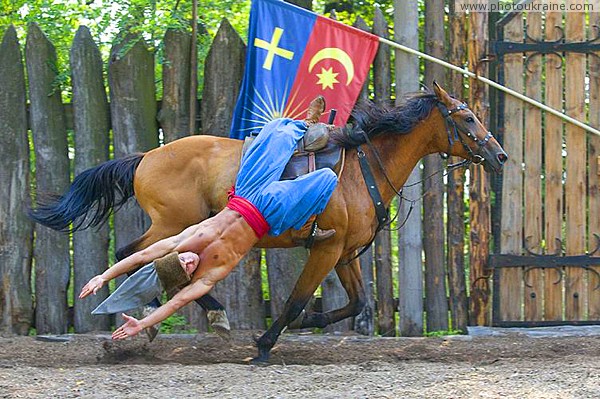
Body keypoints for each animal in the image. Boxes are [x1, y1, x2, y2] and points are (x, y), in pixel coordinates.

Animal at [28, 82, 506, 362]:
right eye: (467, 117)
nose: (499, 155)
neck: (363, 167)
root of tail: (145, 156)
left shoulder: (345, 254)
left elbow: (357, 303)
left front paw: (307, 324)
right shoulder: (326, 249)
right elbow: (295, 300)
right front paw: (265, 342)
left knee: (138, 255)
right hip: (174, 222)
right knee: (133, 252)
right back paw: (197, 315)